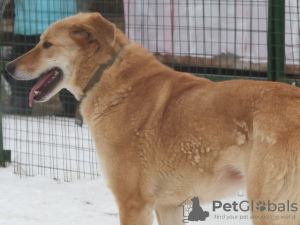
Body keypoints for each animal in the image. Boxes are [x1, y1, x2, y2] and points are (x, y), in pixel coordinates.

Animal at [5, 12, 300, 225]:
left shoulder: (133, 202)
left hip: (269, 208)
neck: (105, 75)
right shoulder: (169, 206)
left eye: (46, 44)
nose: (7, 67)